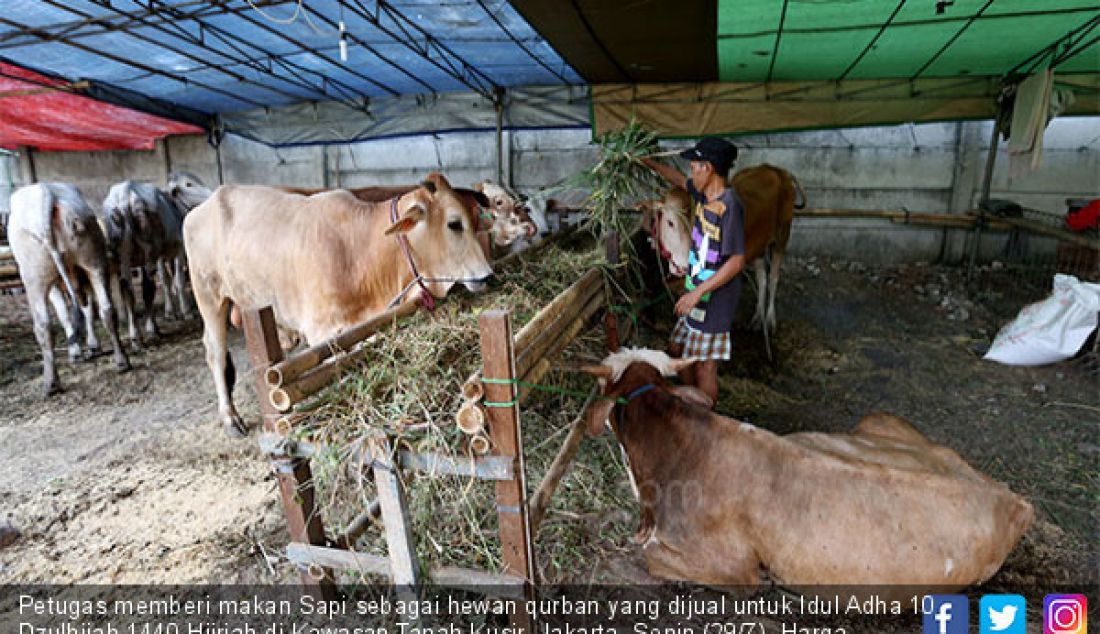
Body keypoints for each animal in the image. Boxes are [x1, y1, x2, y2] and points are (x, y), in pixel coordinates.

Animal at [8, 180, 130, 394]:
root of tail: (46, 194)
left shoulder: (58, 286)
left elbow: (70, 314)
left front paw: (81, 350)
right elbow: (83, 311)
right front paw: (88, 347)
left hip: (38, 277)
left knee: (45, 324)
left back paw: (51, 382)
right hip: (90, 264)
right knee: (105, 309)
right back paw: (121, 361)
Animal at [184, 170, 490, 435]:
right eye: (454, 223)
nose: (488, 275)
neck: (359, 250)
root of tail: (204, 205)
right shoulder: (321, 332)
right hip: (209, 295)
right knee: (215, 352)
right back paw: (230, 418)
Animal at [638, 162, 809, 332]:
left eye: (693, 222)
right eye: (670, 222)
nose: (683, 265)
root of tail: (774, 169)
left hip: (782, 237)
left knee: (774, 277)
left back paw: (770, 319)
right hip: (759, 245)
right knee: (762, 277)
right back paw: (758, 317)